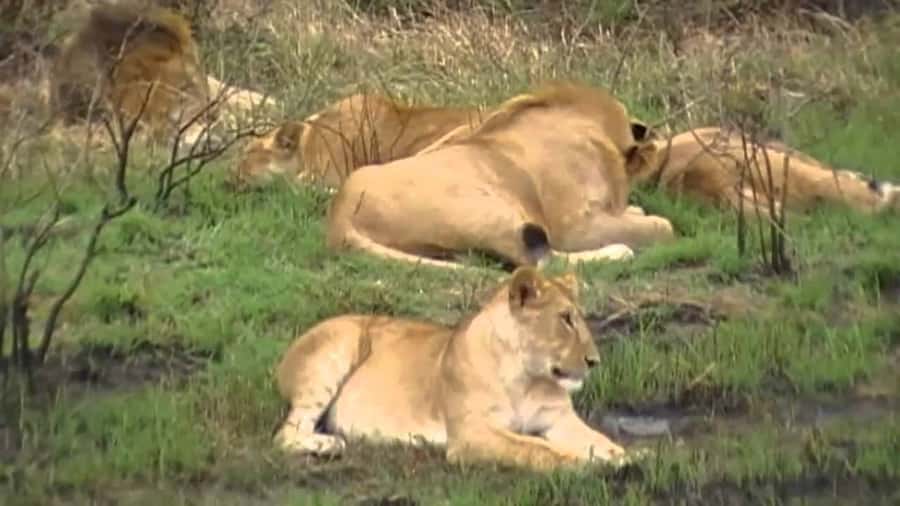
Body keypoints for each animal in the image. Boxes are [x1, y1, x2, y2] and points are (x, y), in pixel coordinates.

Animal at [274, 267, 637, 471]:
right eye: (565, 319)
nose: (594, 361)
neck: (525, 378)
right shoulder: (471, 434)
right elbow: (534, 447)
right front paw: (583, 464)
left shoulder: (558, 420)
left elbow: (600, 440)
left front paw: (626, 458)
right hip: (336, 349)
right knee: (286, 433)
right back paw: (327, 445)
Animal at [325, 81, 674, 269]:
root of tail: (339, 216)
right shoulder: (573, 227)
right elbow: (663, 225)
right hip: (490, 210)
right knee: (538, 258)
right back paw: (619, 252)